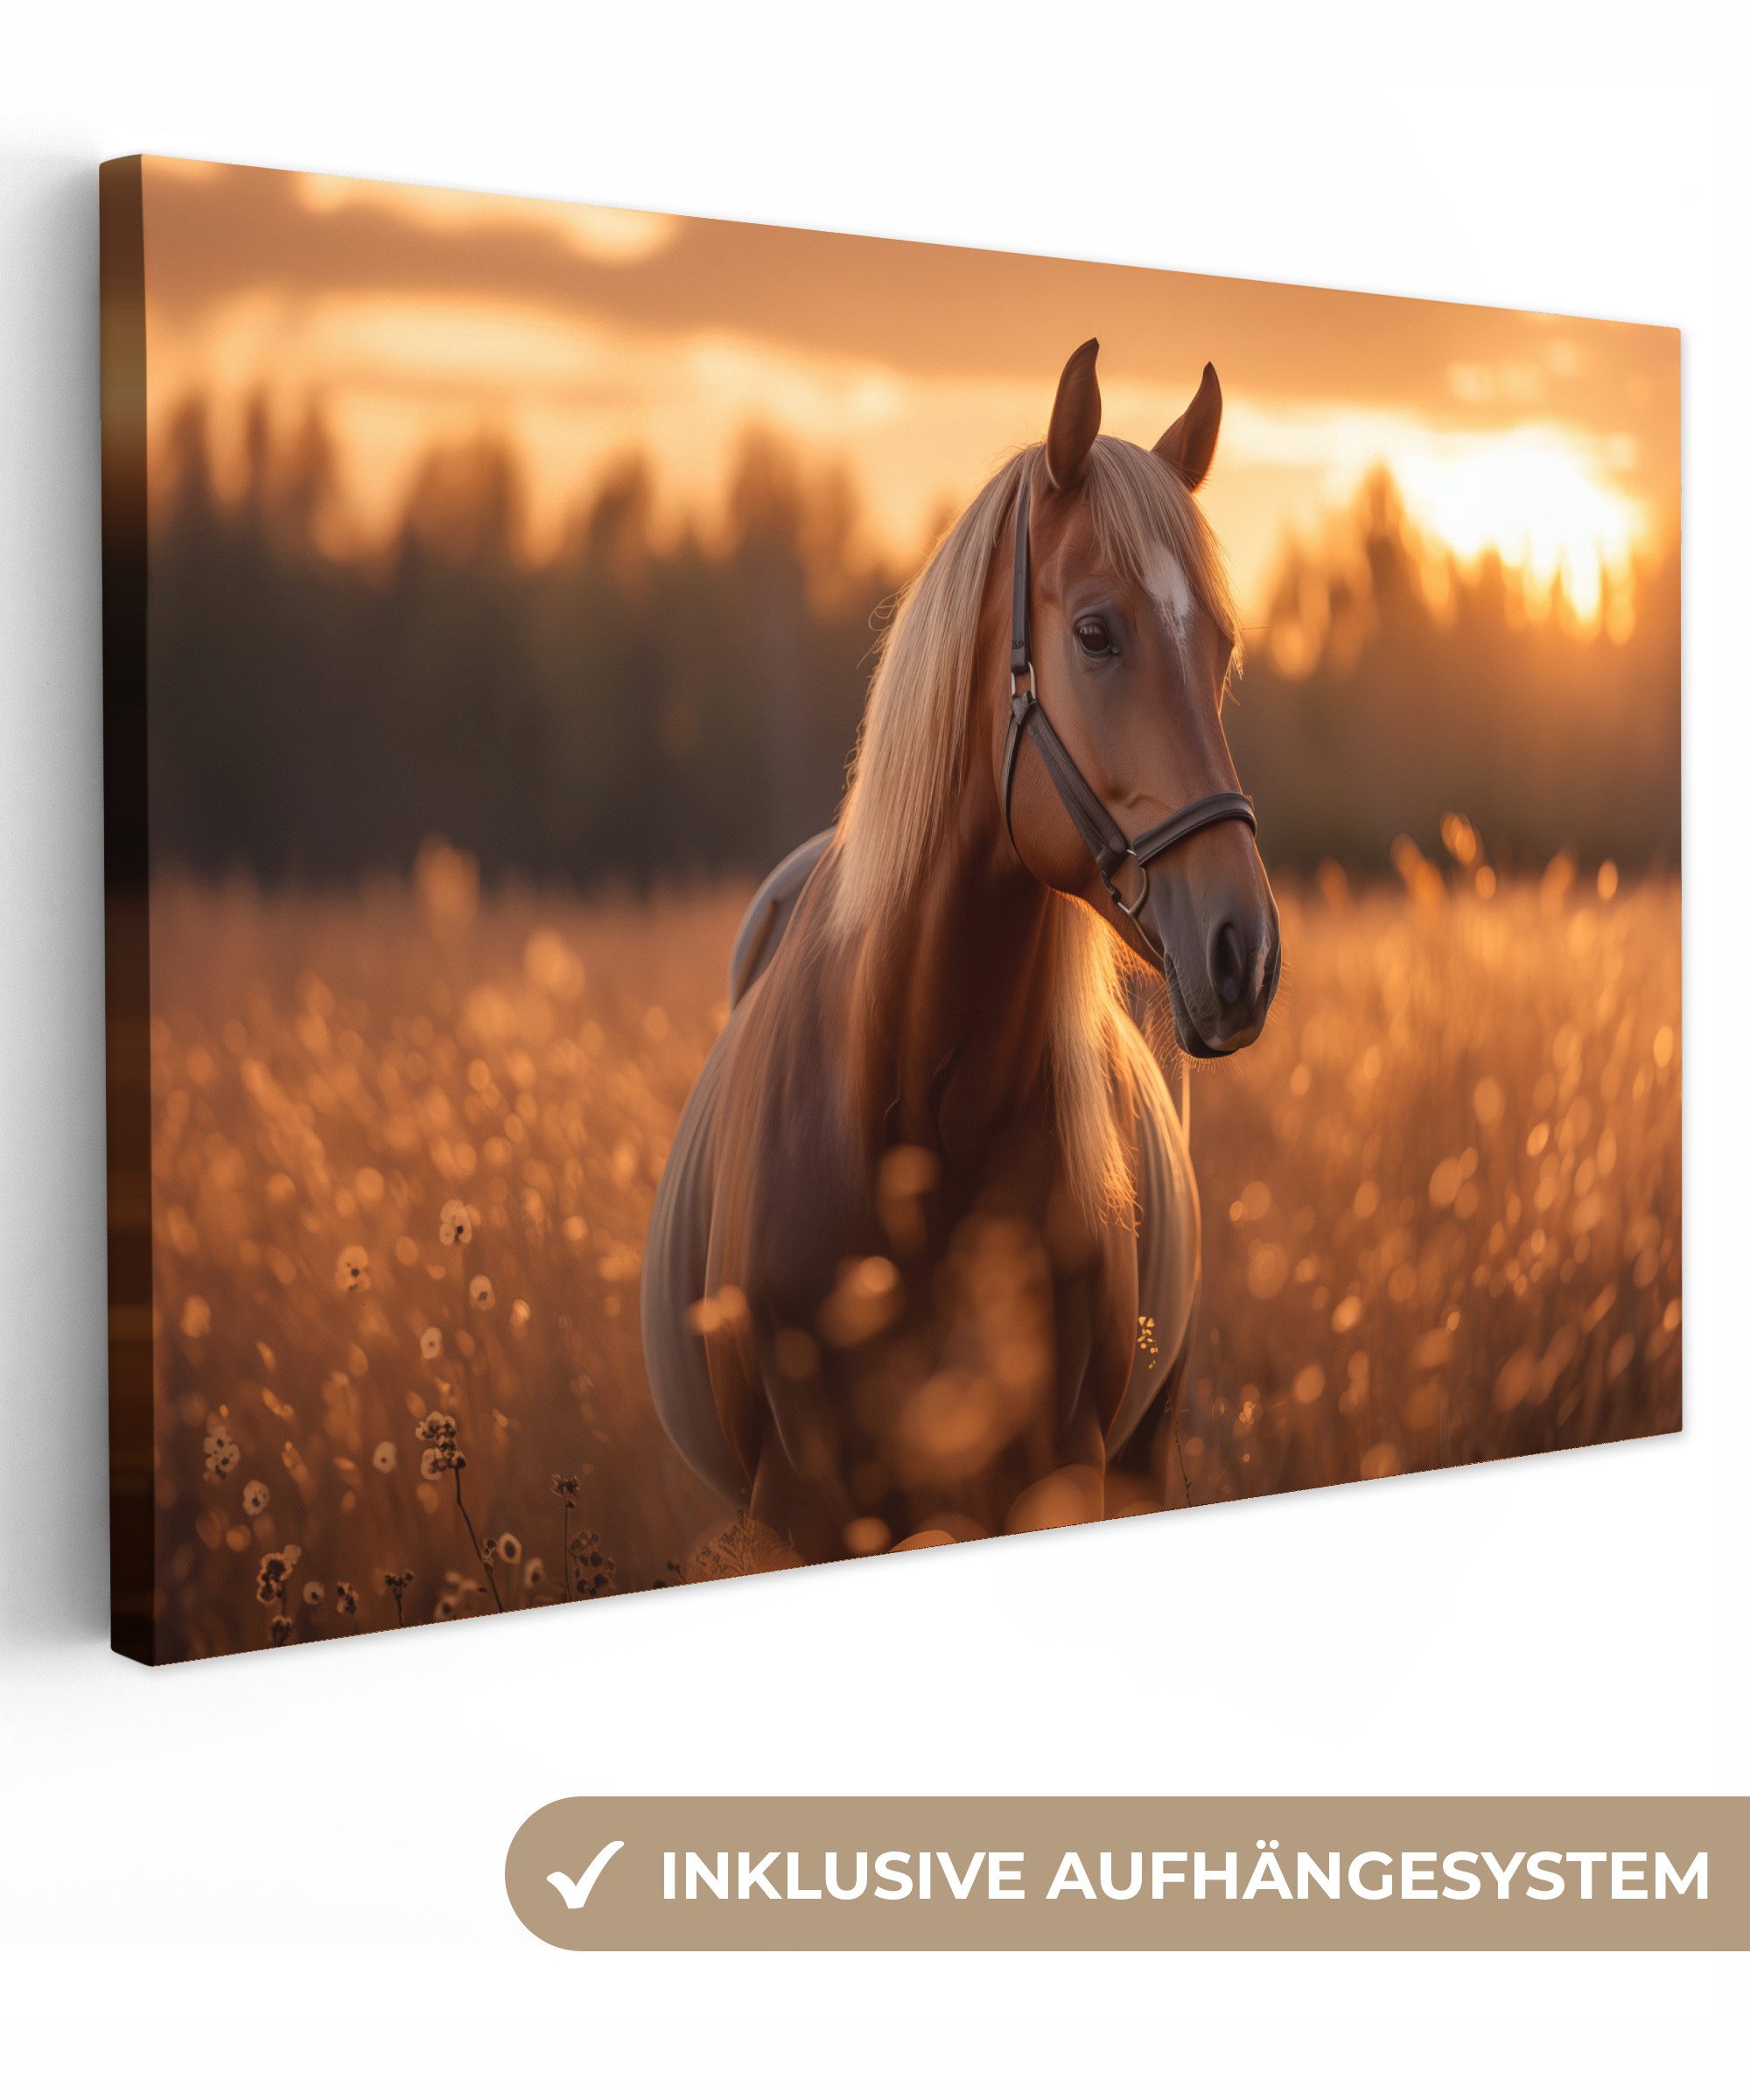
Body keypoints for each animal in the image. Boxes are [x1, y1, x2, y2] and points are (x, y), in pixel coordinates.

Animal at [641, 340, 1281, 1563]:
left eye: (1221, 646)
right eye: (1095, 633)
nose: (1244, 955)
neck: (912, 1117)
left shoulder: (1056, 1475)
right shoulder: (801, 1508)